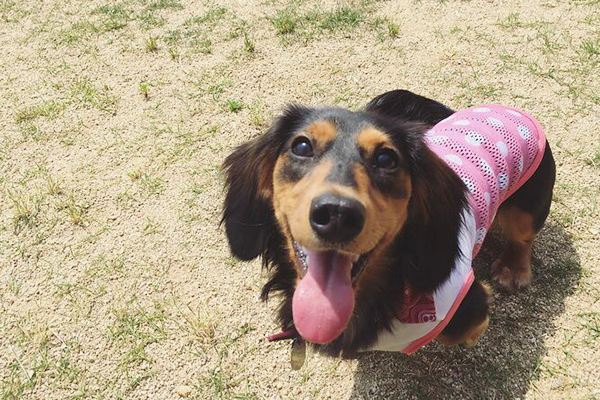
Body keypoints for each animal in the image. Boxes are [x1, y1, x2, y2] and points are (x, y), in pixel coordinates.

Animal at [221, 90, 555, 357]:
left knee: (523, 238)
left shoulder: (464, 298)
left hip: (528, 207)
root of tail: (507, 109)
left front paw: (472, 336)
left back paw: (513, 269)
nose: (337, 214)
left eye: (386, 159)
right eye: (301, 147)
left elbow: (459, 329)